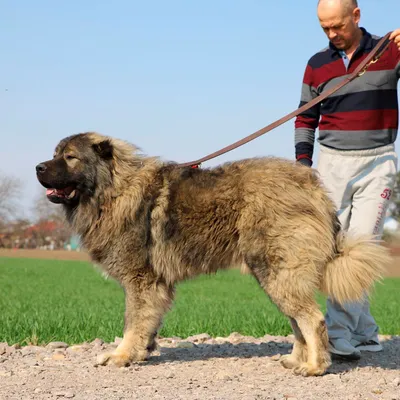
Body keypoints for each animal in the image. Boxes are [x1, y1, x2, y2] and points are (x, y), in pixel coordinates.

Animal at [35, 131, 390, 376]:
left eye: (70, 157)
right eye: (54, 154)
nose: (38, 166)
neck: (113, 191)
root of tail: (312, 186)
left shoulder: (141, 280)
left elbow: (133, 322)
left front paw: (122, 355)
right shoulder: (154, 285)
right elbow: (147, 323)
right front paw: (143, 351)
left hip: (277, 272)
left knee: (313, 320)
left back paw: (315, 367)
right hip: (274, 275)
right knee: (298, 320)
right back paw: (295, 360)